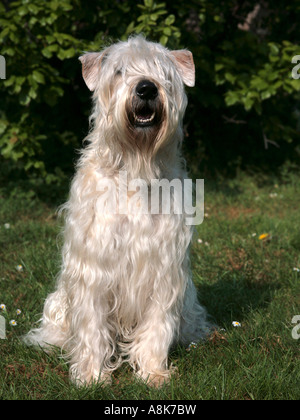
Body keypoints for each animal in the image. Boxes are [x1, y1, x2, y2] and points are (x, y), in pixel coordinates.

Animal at [24, 36, 210, 388]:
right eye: (119, 70)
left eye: (162, 70)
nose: (146, 88)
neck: (135, 168)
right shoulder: (94, 265)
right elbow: (91, 325)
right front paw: (91, 376)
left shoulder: (163, 267)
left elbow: (157, 326)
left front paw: (153, 372)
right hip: (57, 302)